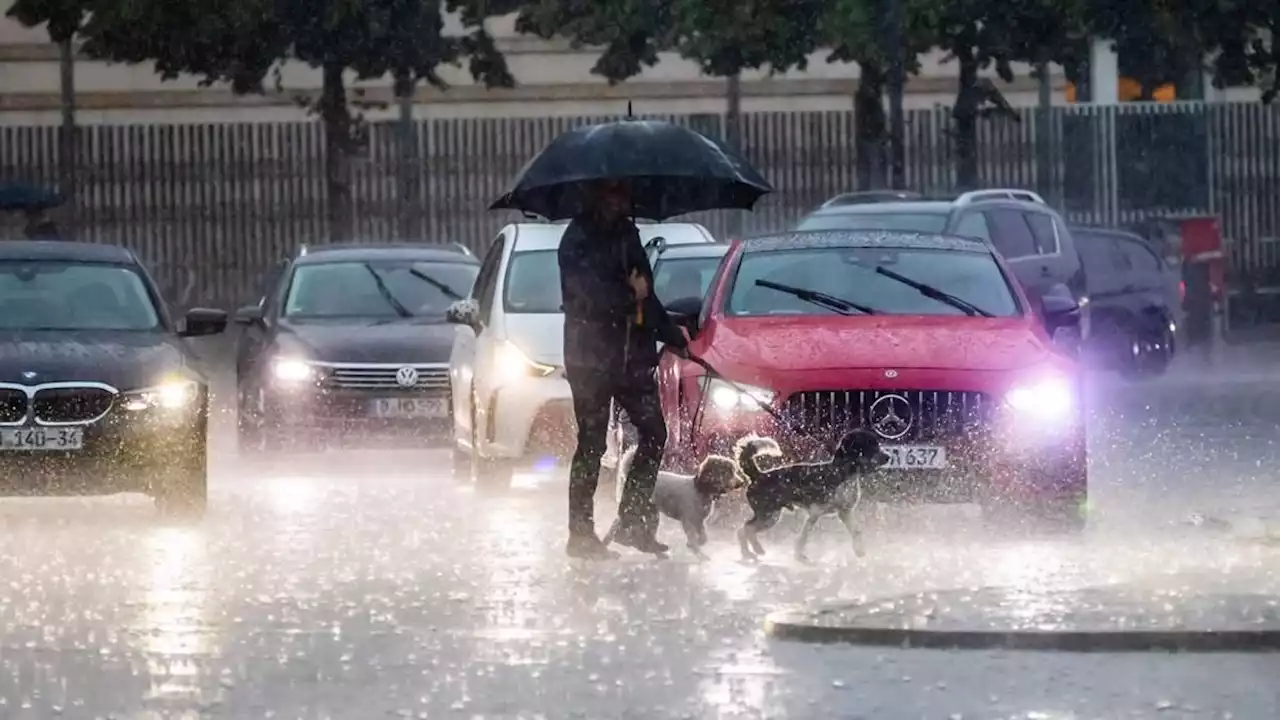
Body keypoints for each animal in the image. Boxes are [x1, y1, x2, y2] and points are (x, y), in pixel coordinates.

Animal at [732, 425, 890, 561]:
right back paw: (752, 551)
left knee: (745, 530)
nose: (888, 456)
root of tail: (758, 474)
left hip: (769, 516)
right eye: (871, 445)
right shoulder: (815, 513)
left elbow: (857, 531)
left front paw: (859, 550)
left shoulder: (845, 512)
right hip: (769, 515)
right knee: (746, 529)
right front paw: (799, 555)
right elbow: (804, 536)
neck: (843, 473)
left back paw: (751, 551)